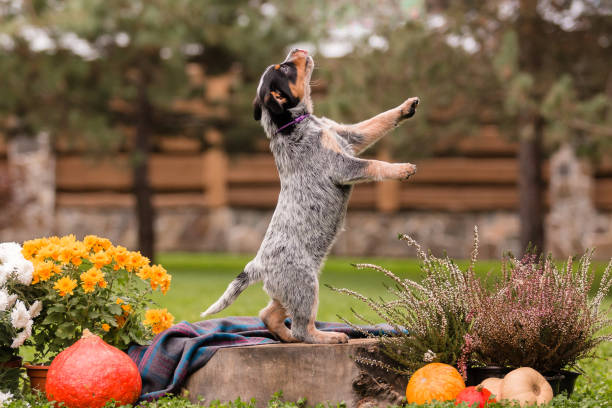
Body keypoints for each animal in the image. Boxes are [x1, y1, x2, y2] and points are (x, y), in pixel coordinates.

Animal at [202, 48, 420, 344]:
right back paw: (327, 337)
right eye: (284, 68)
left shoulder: (349, 136)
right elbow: (374, 164)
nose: (298, 49)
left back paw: (287, 337)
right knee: (302, 326)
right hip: (305, 285)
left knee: (268, 314)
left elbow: (377, 121)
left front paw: (406, 107)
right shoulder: (341, 166)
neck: (297, 123)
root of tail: (257, 265)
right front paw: (403, 169)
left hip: (291, 290)